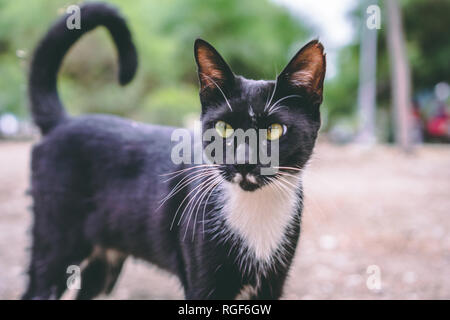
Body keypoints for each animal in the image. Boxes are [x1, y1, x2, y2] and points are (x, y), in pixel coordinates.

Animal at [22, 1, 326, 300]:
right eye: (224, 128)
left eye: (274, 129)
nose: (243, 162)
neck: (255, 210)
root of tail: (63, 121)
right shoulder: (203, 284)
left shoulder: (273, 283)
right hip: (56, 241)